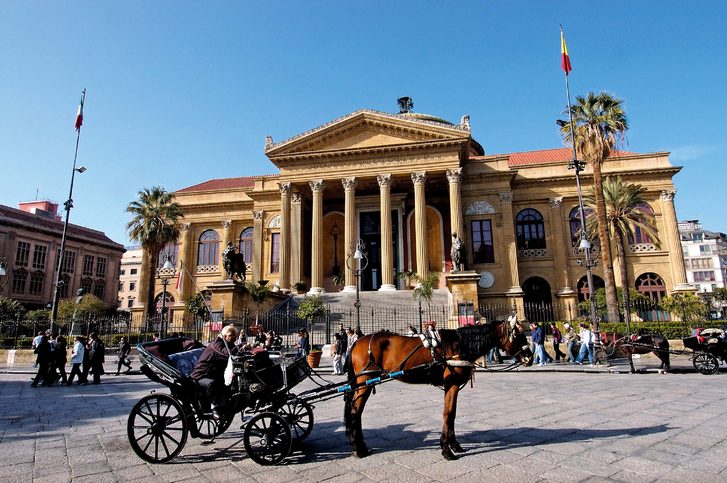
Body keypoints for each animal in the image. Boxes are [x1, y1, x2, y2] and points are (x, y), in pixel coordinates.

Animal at [344, 322, 532, 462]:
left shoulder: (451, 386)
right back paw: (358, 449)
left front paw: (455, 445)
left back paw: (360, 447)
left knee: (356, 412)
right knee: (355, 411)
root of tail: (356, 342)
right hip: (364, 381)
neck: (460, 345)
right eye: (517, 335)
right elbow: (448, 413)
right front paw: (447, 450)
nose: (530, 358)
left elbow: (452, 414)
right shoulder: (452, 384)